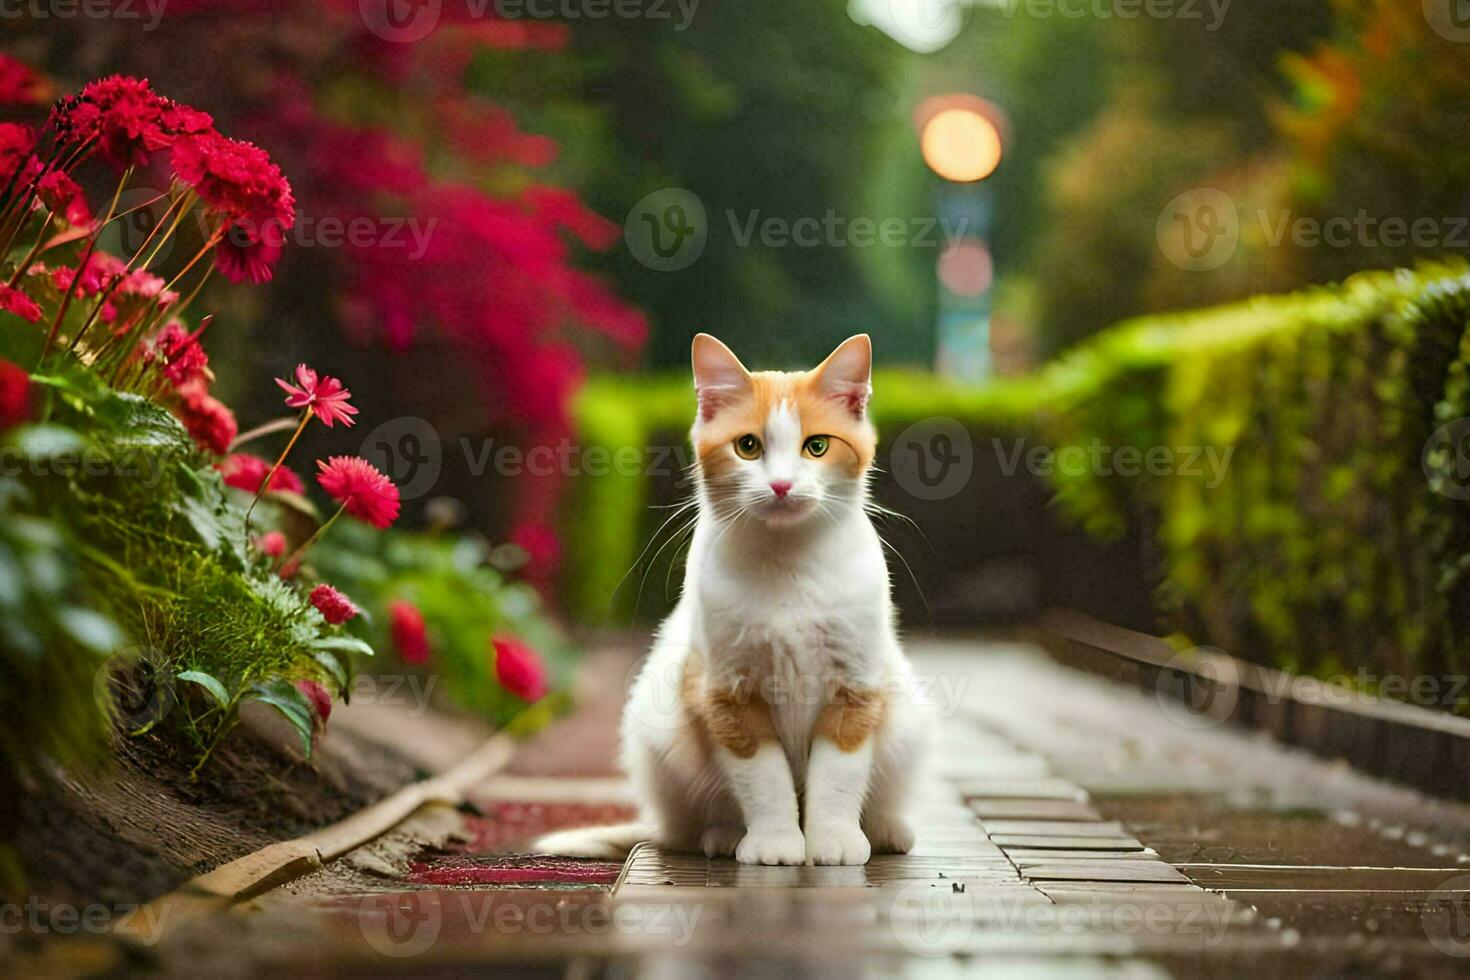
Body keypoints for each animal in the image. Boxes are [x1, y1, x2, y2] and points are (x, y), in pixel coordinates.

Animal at [540, 334, 929, 863]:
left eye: (817, 446)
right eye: (748, 446)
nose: (781, 484)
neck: (787, 565)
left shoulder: (855, 686)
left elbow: (838, 775)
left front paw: (832, 839)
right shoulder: (728, 692)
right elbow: (763, 778)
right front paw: (775, 842)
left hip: (907, 719)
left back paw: (888, 830)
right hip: (662, 737)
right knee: (690, 824)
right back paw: (722, 835)